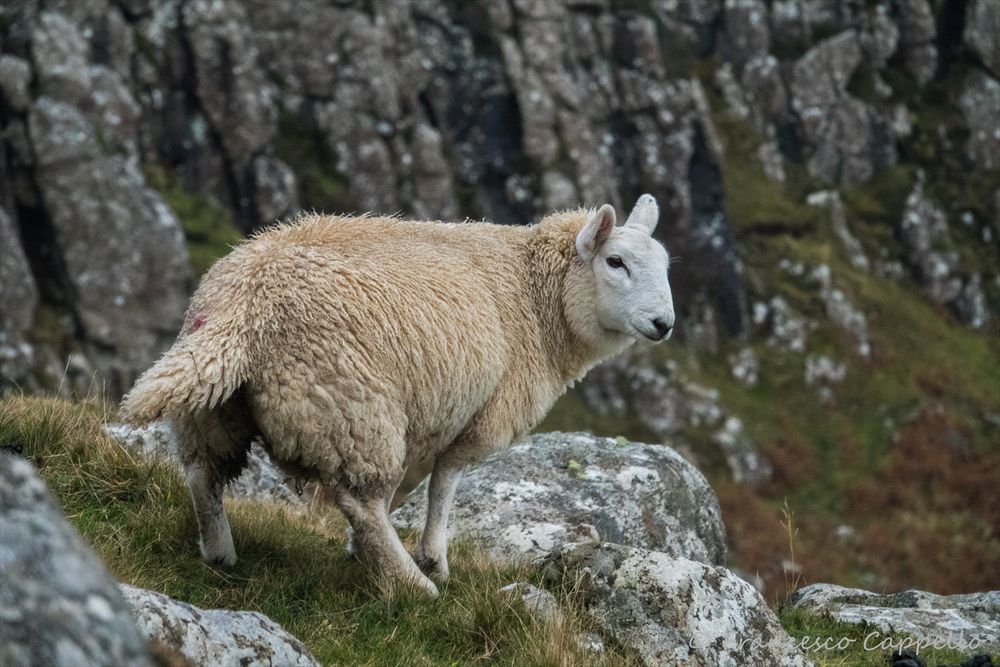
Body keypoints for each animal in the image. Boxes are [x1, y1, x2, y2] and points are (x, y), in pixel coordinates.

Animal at [121, 196, 676, 596]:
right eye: (616, 261)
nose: (664, 324)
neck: (535, 298)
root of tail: (244, 305)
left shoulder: (428, 417)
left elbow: (417, 490)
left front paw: (366, 553)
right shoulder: (477, 417)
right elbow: (444, 485)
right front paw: (433, 558)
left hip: (217, 411)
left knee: (203, 475)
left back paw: (221, 554)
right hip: (353, 410)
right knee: (362, 500)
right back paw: (413, 585)